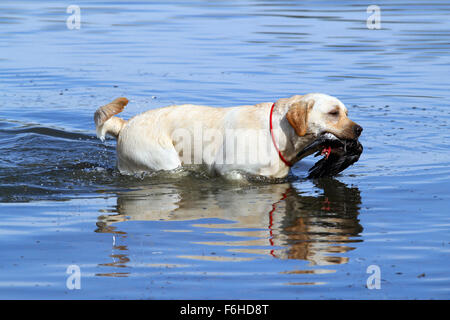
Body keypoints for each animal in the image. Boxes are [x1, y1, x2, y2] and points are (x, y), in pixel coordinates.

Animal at [94, 94, 362, 179]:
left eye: (347, 113)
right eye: (334, 113)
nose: (360, 130)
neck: (278, 135)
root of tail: (125, 124)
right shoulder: (229, 171)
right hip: (165, 162)